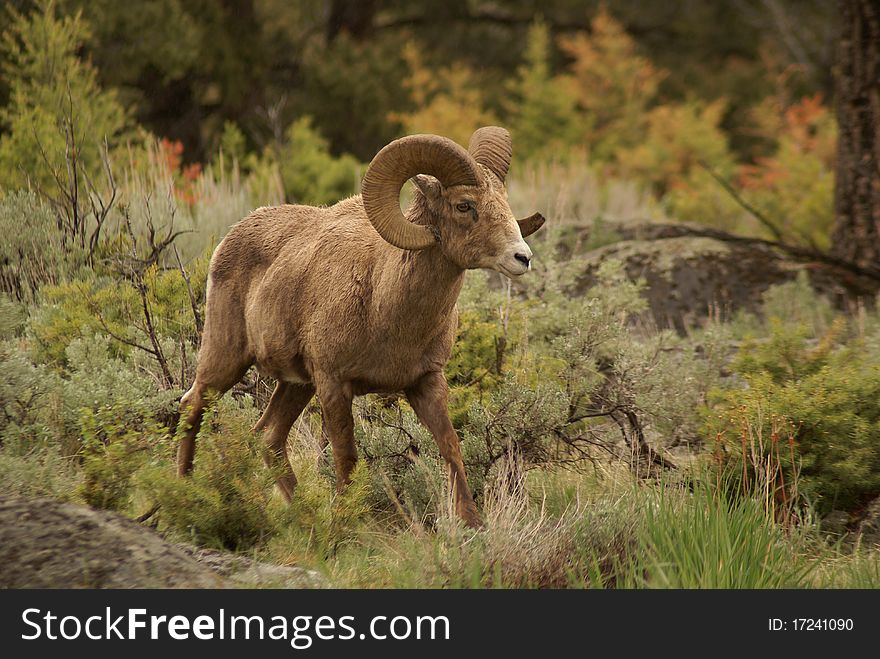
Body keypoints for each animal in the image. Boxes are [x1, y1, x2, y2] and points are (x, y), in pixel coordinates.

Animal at [180, 126, 544, 524]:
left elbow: (450, 446)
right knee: (192, 405)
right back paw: (184, 491)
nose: (522, 257)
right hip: (226, 361)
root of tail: (229, 238)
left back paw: (304, 513)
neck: (385, 308)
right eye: (464, 205)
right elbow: (346, 458)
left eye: (503, 200)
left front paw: (472, 524)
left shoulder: (426, 383)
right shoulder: (334, 385)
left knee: (267, 437)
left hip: (296, 385)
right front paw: (347, 521)